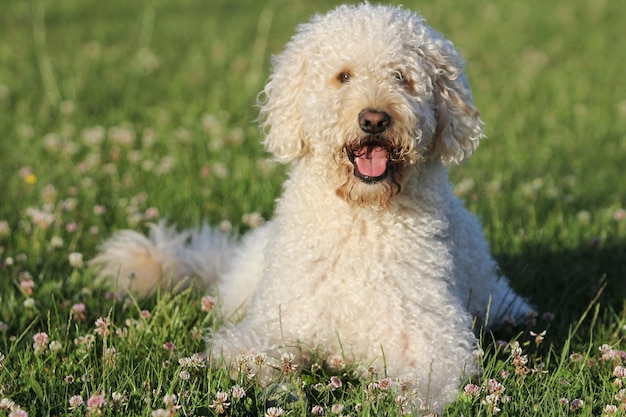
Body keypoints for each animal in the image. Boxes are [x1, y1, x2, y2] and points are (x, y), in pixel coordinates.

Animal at [92, 3, 528, 412]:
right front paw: (287, 391)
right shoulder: (267, 329)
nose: (374, 119)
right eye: (343, 76)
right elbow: (261, 366)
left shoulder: (434, 339)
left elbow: (427, 386)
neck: (361, 216)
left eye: (402, 77)